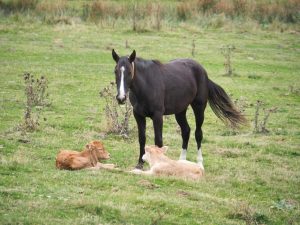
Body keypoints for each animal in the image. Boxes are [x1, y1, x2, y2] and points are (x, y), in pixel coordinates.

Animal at [111, 49, 245, 169]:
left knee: (198, 134)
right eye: (115, 71)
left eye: (129, 72)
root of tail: (203, 71)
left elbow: (158, 141)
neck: (147, 85)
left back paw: (200, 163)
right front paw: (139, 164)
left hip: (199, 108)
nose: (121, 98)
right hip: (180, 111)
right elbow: (142, 139)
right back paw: (182, 161)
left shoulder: (157, 116)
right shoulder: (138, 115)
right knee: (186, 131)